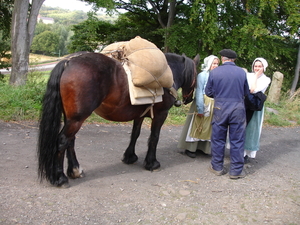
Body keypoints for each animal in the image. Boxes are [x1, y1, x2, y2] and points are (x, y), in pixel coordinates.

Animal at [38, 51, 200, 187]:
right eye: (197, 76)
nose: (188, 99)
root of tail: (68, 62)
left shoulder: (139, 115)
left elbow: (135, 134)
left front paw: (130, 156)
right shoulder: (161, 114)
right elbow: (154, 137)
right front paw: (152, 163)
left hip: (72, 118)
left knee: (70, 141)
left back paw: (75, 170)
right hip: (77, 119)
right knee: (63, 141)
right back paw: (60, 178)